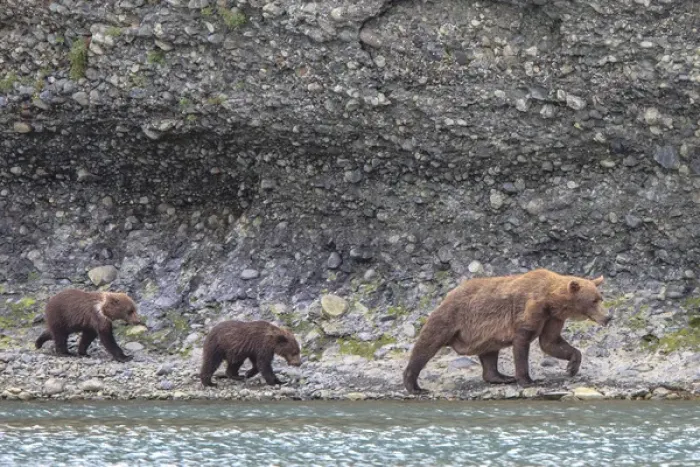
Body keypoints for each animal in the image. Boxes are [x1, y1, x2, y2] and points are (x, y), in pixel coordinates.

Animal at [403, 269, 610, 394]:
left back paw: (502, 377)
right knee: (427, 344)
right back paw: (414, 386)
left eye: (600, 298)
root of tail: (448, 293)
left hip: (484, 333)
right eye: (594, 300)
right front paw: (528, 380)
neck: (552, 301)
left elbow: (550, 343)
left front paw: (572, 367)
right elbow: (522, 343)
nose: (608, 317)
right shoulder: (530, 310)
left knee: (489, 353)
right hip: (451, 316)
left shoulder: (553, 318)